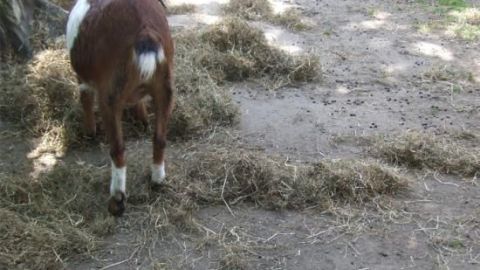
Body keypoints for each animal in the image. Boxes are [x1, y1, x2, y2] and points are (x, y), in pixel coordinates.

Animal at [65, 0, 173, 215]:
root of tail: (145, 33)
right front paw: (142, 120)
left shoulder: (83, 78)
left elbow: (85, 98)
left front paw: (89, 132)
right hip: (165, 86)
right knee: (160, 138)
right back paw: (157, 181)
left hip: (110, 93)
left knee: (118, 148)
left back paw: (117, 199)